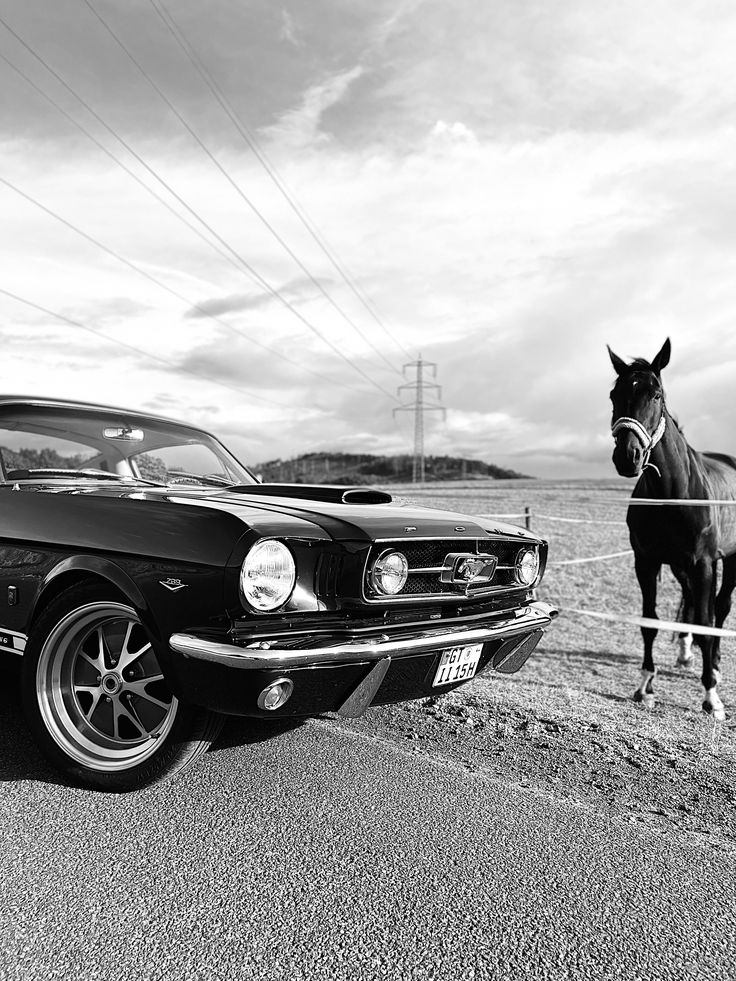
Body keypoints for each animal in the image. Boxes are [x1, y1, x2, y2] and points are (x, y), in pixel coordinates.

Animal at [608, 338, 736, 720]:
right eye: (614, 394)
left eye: (656, 394)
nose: (628, 456)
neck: (672, 494)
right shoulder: (646, 561)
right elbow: (650, 620)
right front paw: (645, 687)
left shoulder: (704, 564)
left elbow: (707, 621)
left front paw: (711, 696)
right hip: (682, 567)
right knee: (693, 603)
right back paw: (685, 652)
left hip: (730, 560)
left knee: (719, 609)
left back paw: (715, 666)